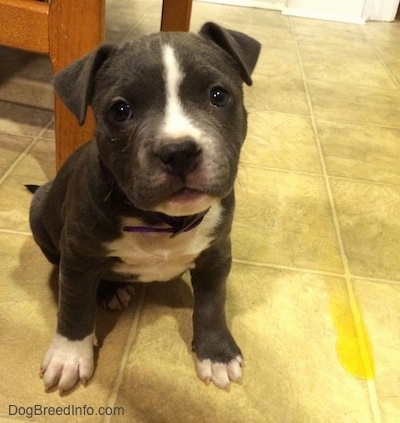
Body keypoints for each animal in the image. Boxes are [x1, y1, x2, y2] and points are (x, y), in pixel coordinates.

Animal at [28, 22, 260, 394]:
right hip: (39, 212)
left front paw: (217, 355)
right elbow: (74, 306)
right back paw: (110, 290)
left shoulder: (216, 253)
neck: (160, 221)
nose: (179, 151)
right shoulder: (77, 256)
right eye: (120, 110)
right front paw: (69, 356)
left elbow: (212, 303)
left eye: (219, 95)